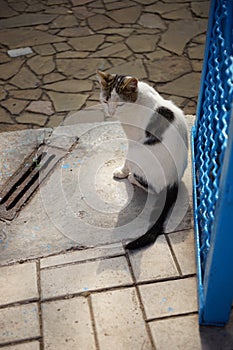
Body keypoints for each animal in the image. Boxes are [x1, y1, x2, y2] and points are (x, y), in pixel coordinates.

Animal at [96, 69, 187, 249]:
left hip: (139, 151)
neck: (138, 99)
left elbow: (126, 161)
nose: (110, 113)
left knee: (151, 187)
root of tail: (174, 181)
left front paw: (122, 171)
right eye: (105, 100)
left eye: (120, 104)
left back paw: (132, 178)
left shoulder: (133, 140)